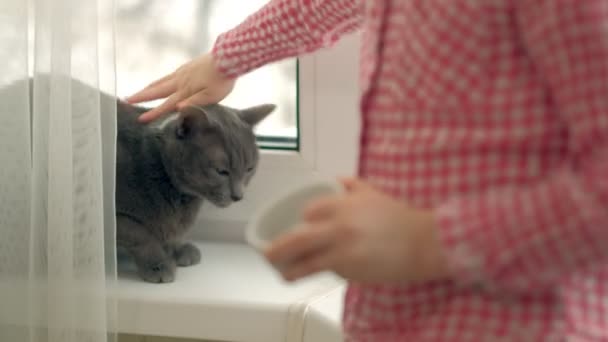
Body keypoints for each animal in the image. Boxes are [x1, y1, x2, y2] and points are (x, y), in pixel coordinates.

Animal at [116, 101, 274, 284]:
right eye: (221, 171)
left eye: (249, 169)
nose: (238, 196)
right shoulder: (115, 215)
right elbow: (141, 236)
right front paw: (158, 264)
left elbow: (173, 230)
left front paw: (178, 249)